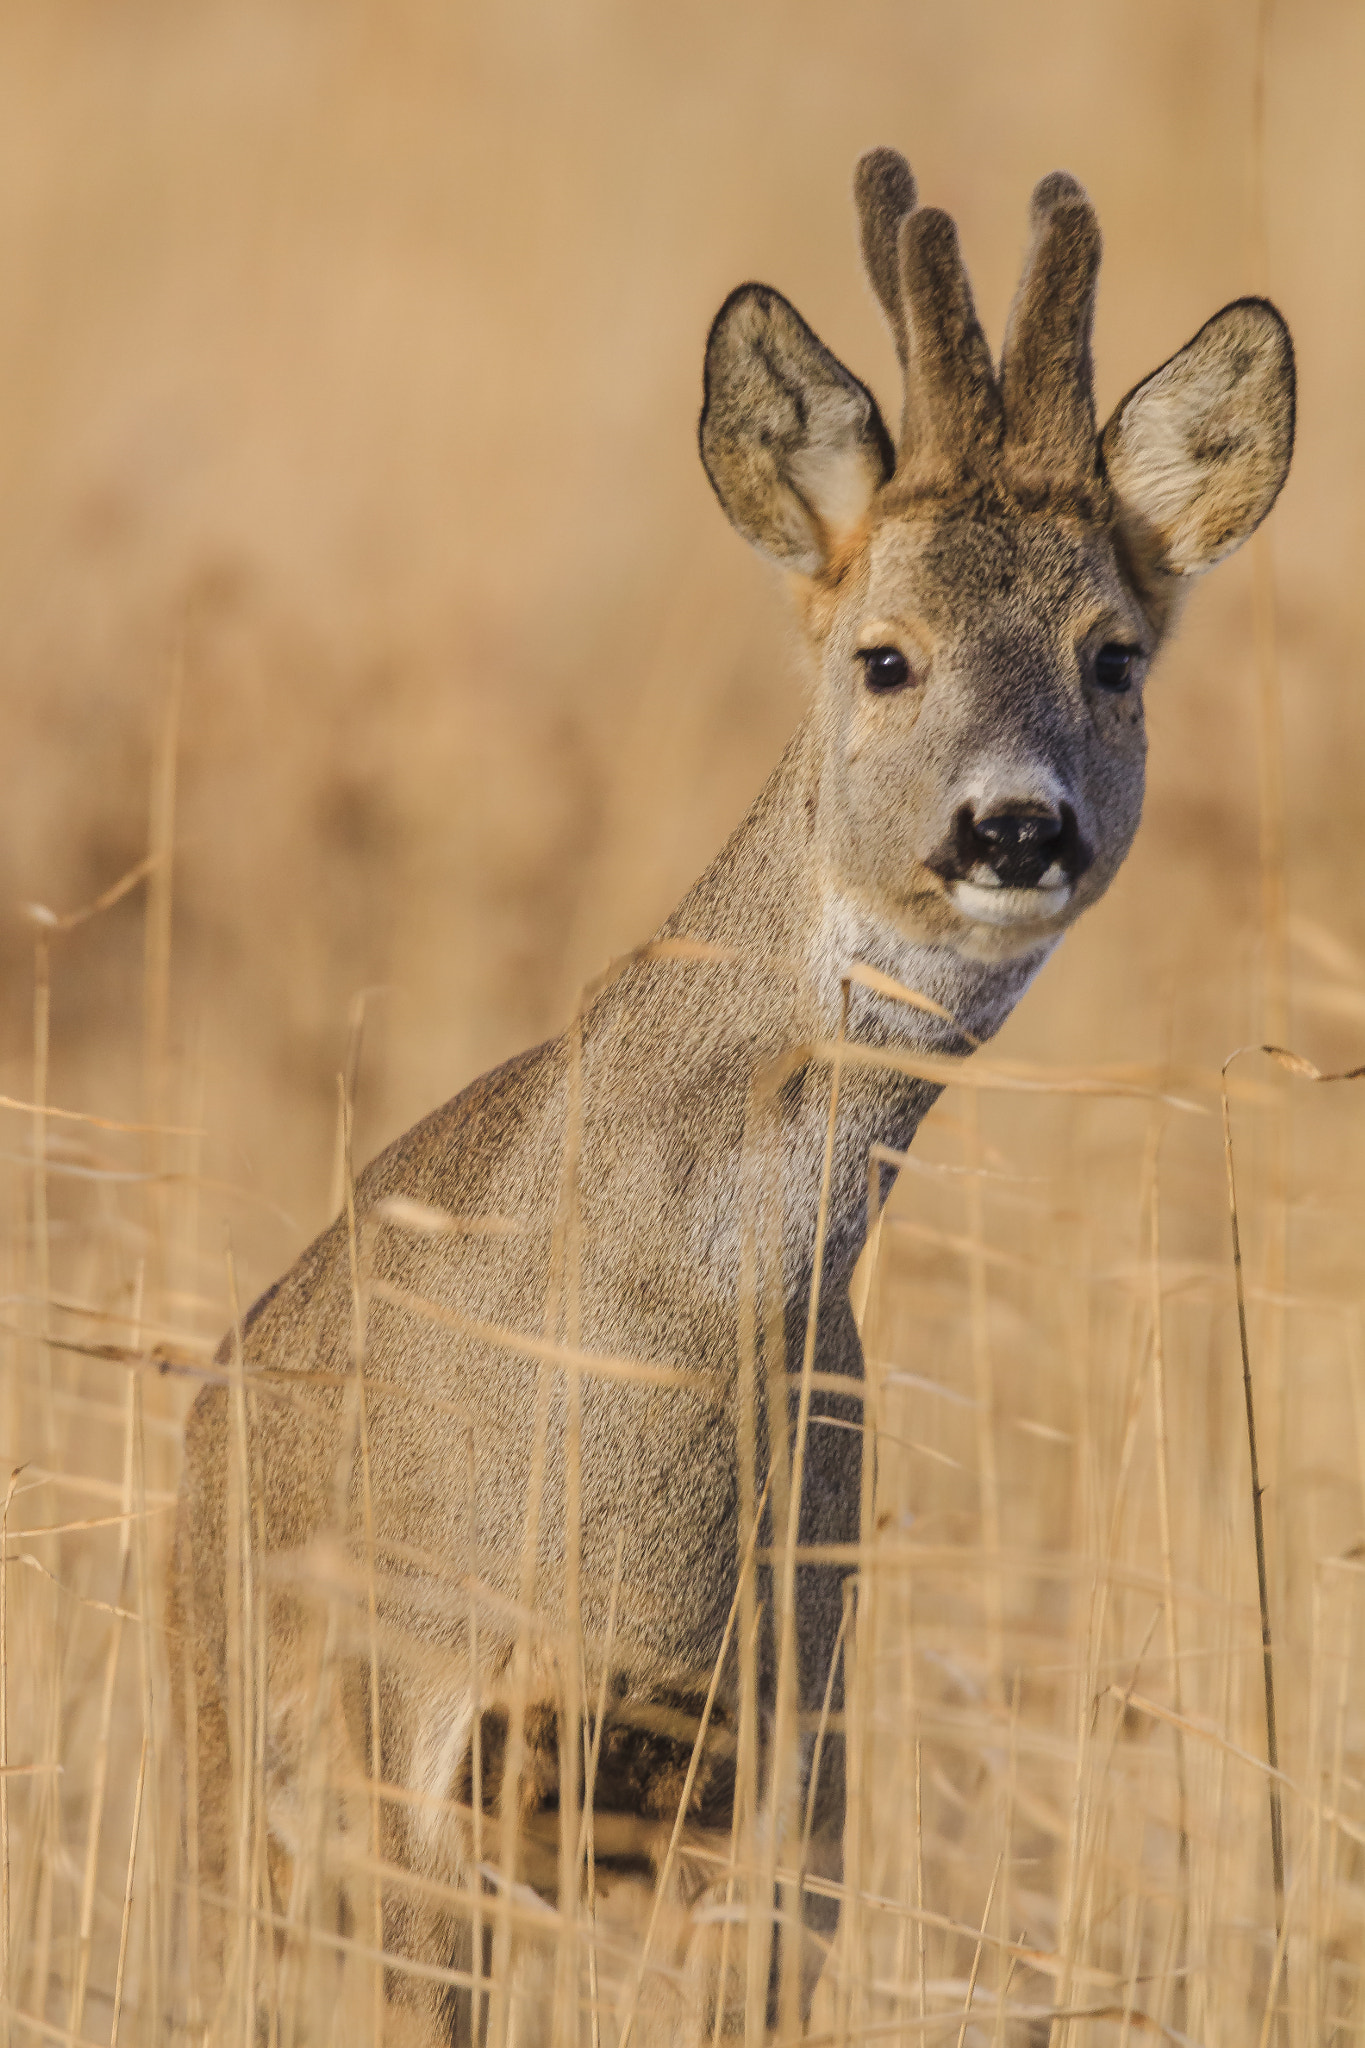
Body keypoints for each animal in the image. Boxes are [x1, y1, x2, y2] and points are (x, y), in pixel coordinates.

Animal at [170, 148, 1295, 2048]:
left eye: (1115, 654)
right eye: (884, 655)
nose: (1015, 826)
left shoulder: (780, 1790)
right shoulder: (411, 1745)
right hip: (234, 1786)